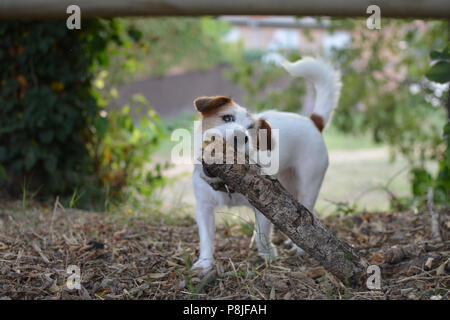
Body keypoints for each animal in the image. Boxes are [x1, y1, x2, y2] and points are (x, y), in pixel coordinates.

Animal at [190, 57, 342, 272]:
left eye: (251, 131)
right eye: (227, 118)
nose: (240, 136)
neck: (225, 183)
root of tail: (313, 122)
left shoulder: (265, 204)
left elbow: (263, 233)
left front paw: (268, 256)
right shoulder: (203, 209)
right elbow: (206, 238)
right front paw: (204, 263)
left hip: (308, 185)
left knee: (308, 217)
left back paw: (299, 247)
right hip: (287, 186)